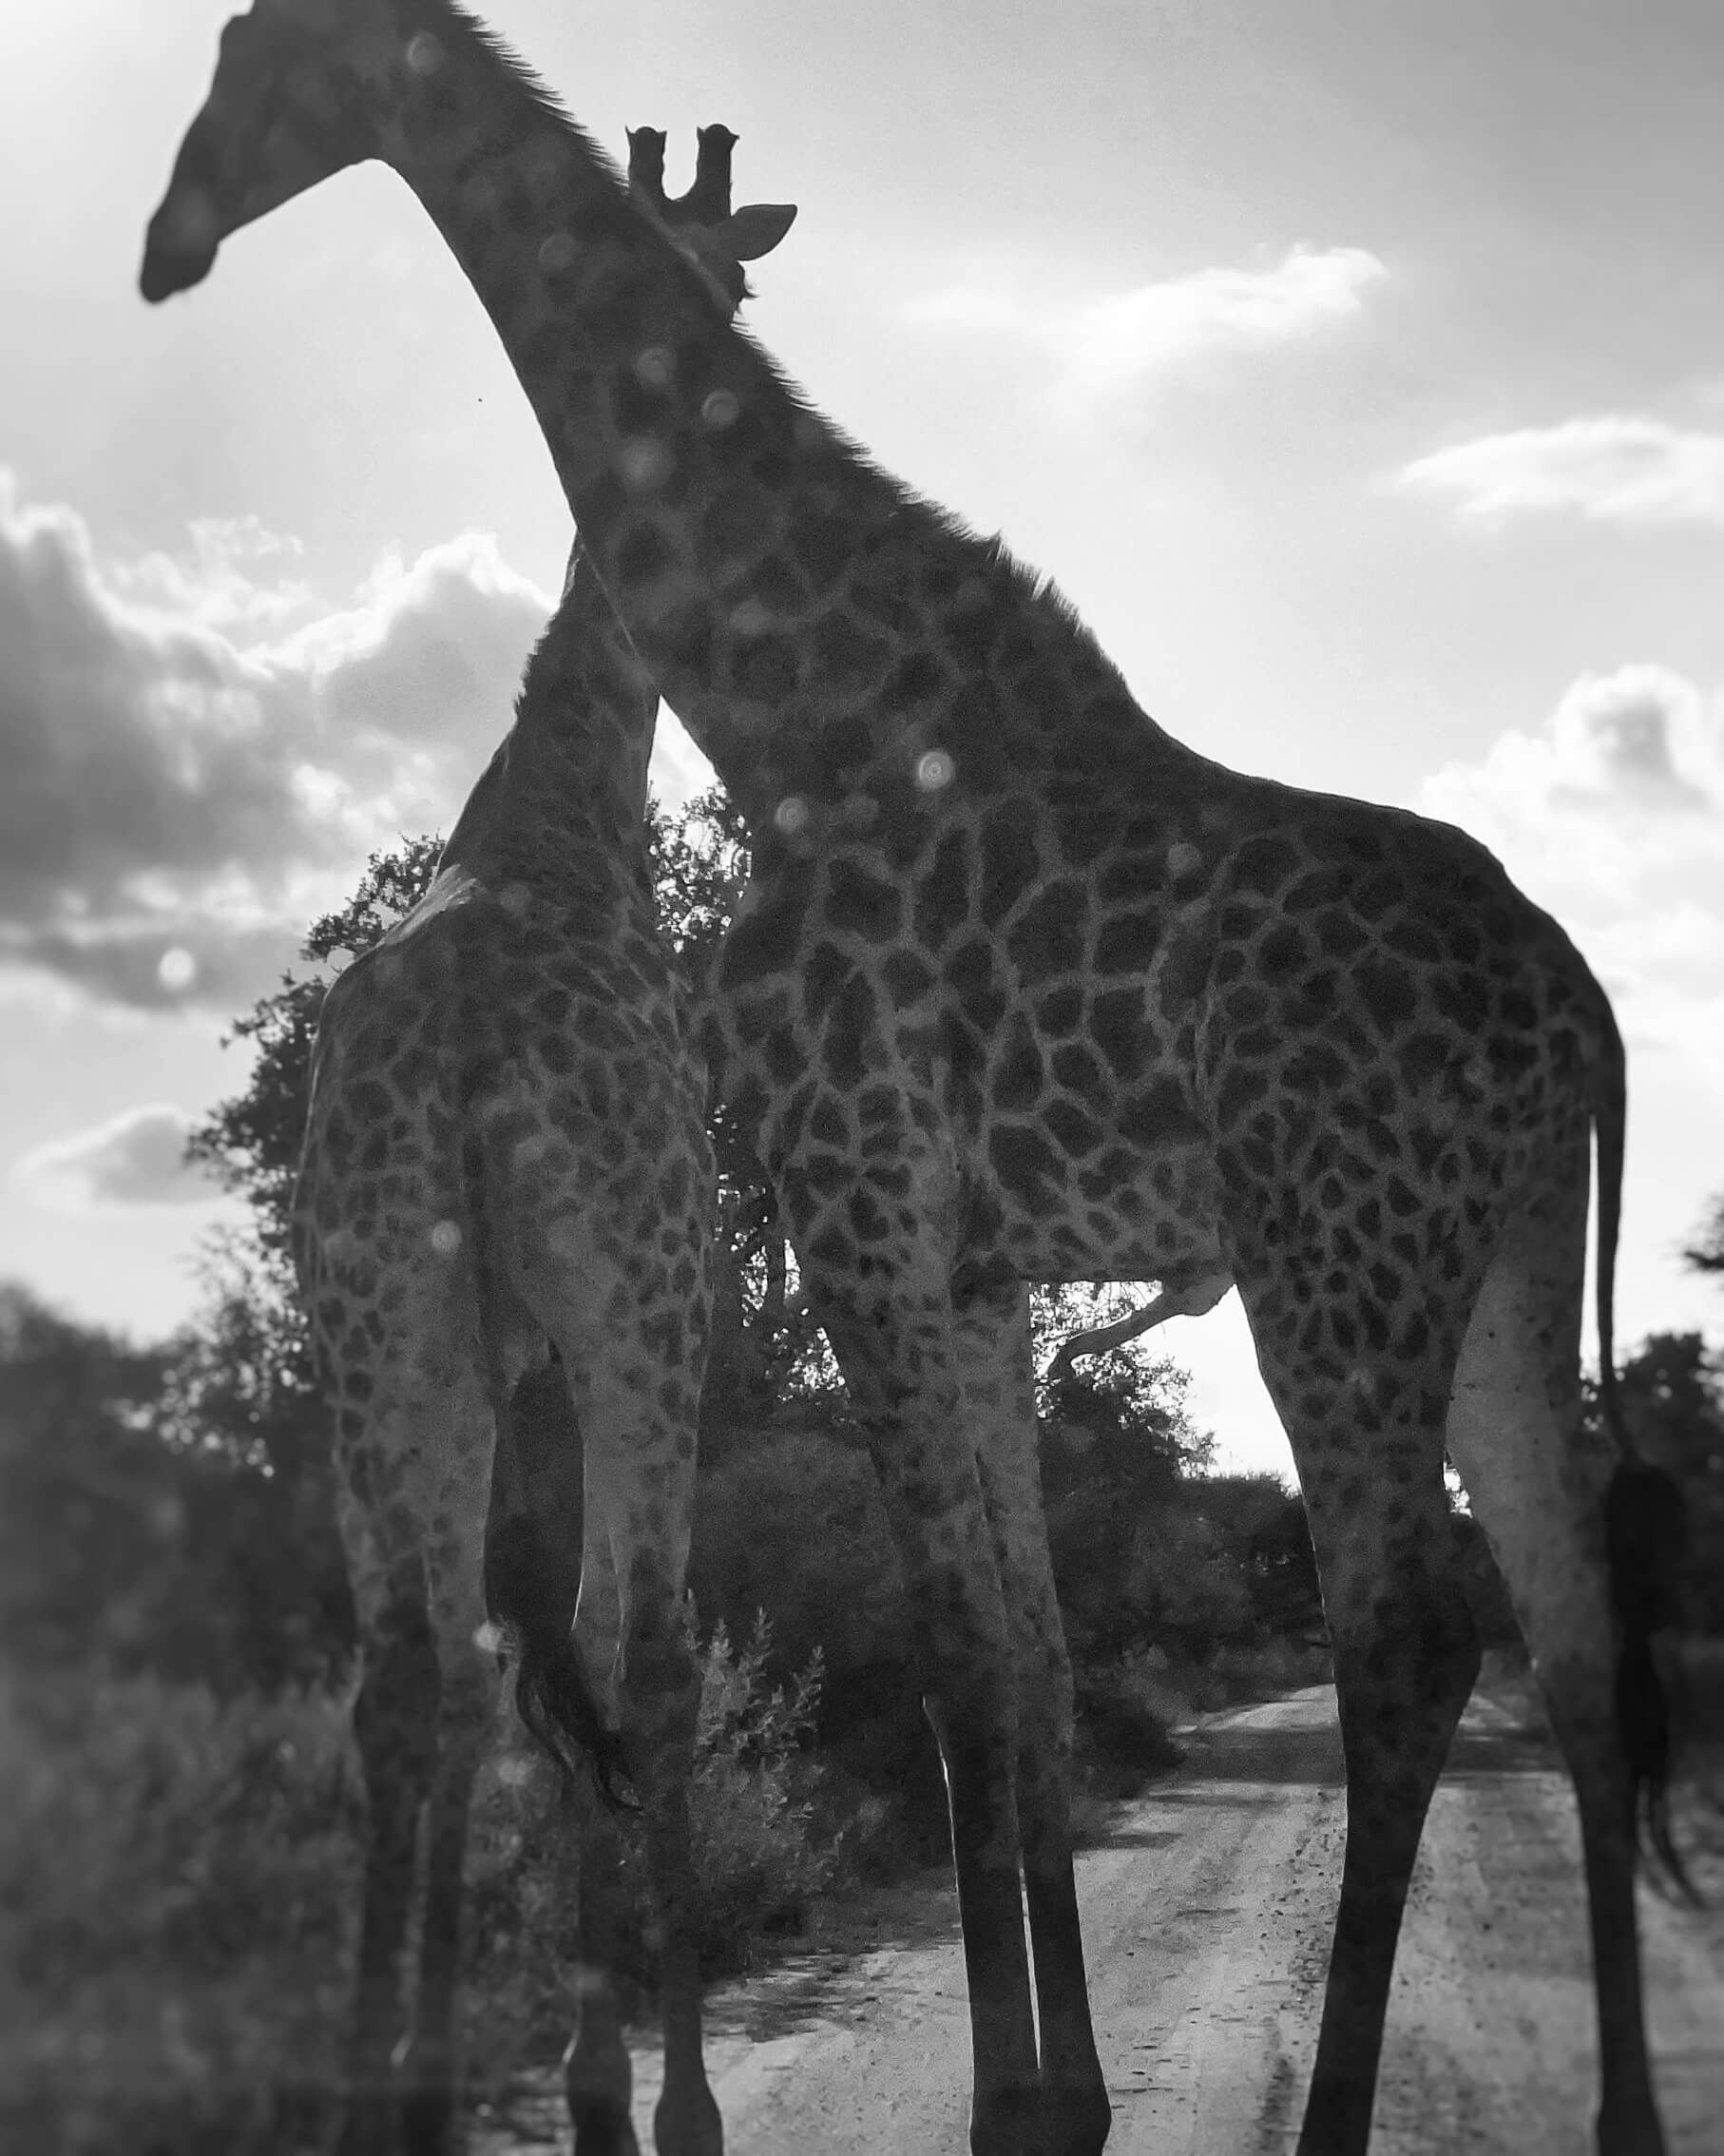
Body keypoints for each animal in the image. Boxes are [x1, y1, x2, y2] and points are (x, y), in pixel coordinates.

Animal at [138, 8, 1697, 2146]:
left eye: (252, 55)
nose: (165, 245)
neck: (801, 715)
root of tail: (1579, 1009)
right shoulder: (957, 1261)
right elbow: (1013, 1656)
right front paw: (1055, 2091)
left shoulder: (851, 1206)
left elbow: (957, 1657)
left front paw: (1013, 2098)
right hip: (1503, 1266)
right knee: (1572, 1634)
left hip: (1332, 1259)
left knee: (1407, 1636)